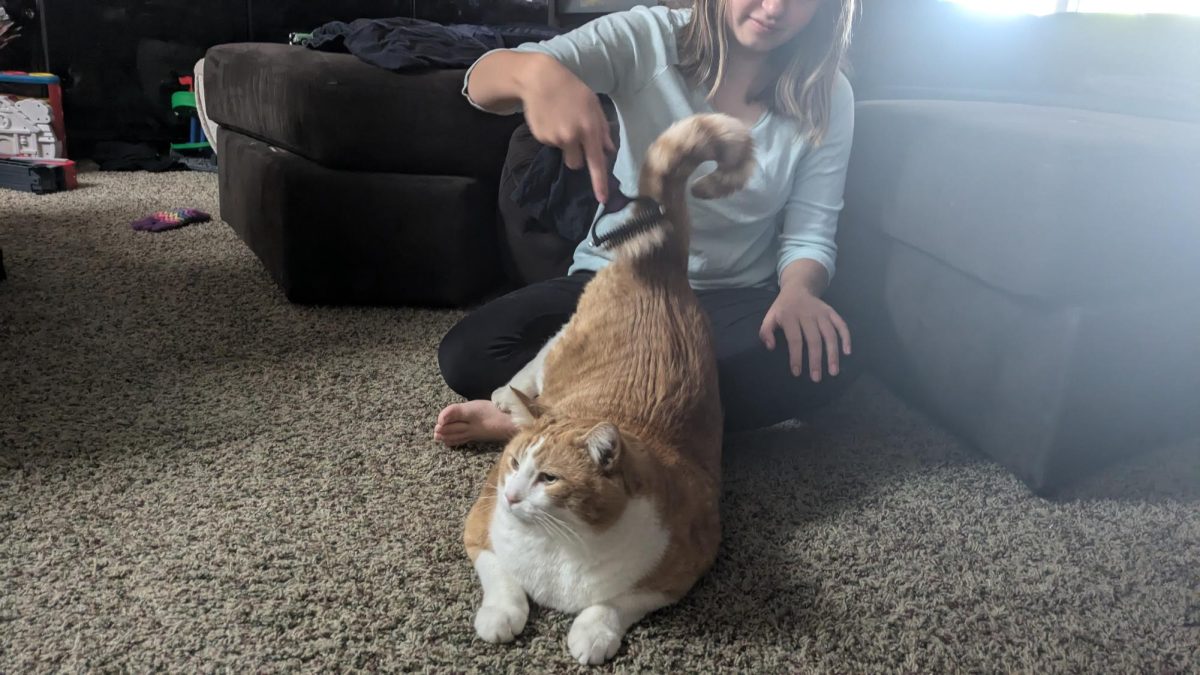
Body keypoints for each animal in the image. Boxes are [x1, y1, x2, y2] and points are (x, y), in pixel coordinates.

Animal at [463, 111, 753, 662]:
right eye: (512, 464)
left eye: (548, 478)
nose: (511, 496)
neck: (561, 548)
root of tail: (659, 257)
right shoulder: (479, 525)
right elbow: (502, 579)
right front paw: (500, 616)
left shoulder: (684, 567)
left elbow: (617, 602)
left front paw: (593, 633)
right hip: (565, 340)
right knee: (541, 353)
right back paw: (506, 395)